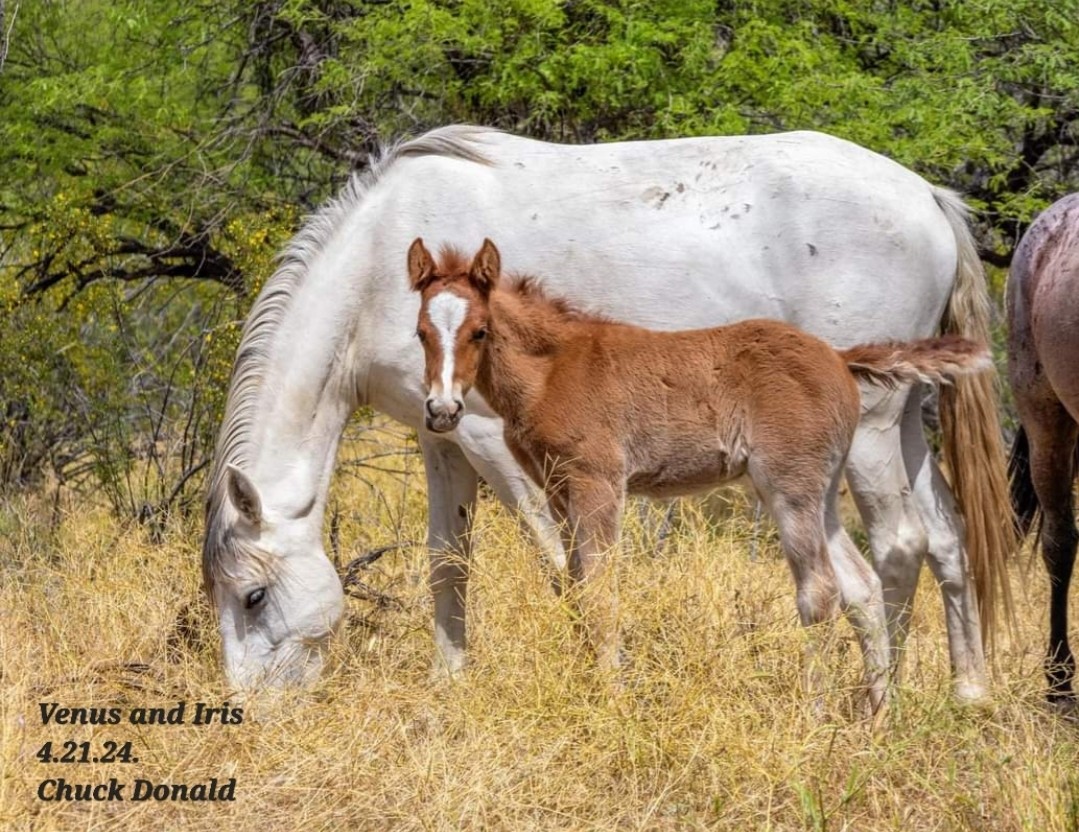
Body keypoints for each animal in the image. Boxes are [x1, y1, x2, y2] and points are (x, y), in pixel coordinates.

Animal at [408, 237, 993, 712]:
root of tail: (838, 356)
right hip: (821, 492)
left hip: (789, 488)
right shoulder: (556, 488)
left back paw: (816, 712)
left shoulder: (600, 482)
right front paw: (586, 683)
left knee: (820, 591)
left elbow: (601, 591)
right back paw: (877, 714)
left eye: (480, 331)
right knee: (862, 587)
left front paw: (612, 697)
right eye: (419, 334)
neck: (554, 370)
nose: (442, 410)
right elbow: (574, 588)